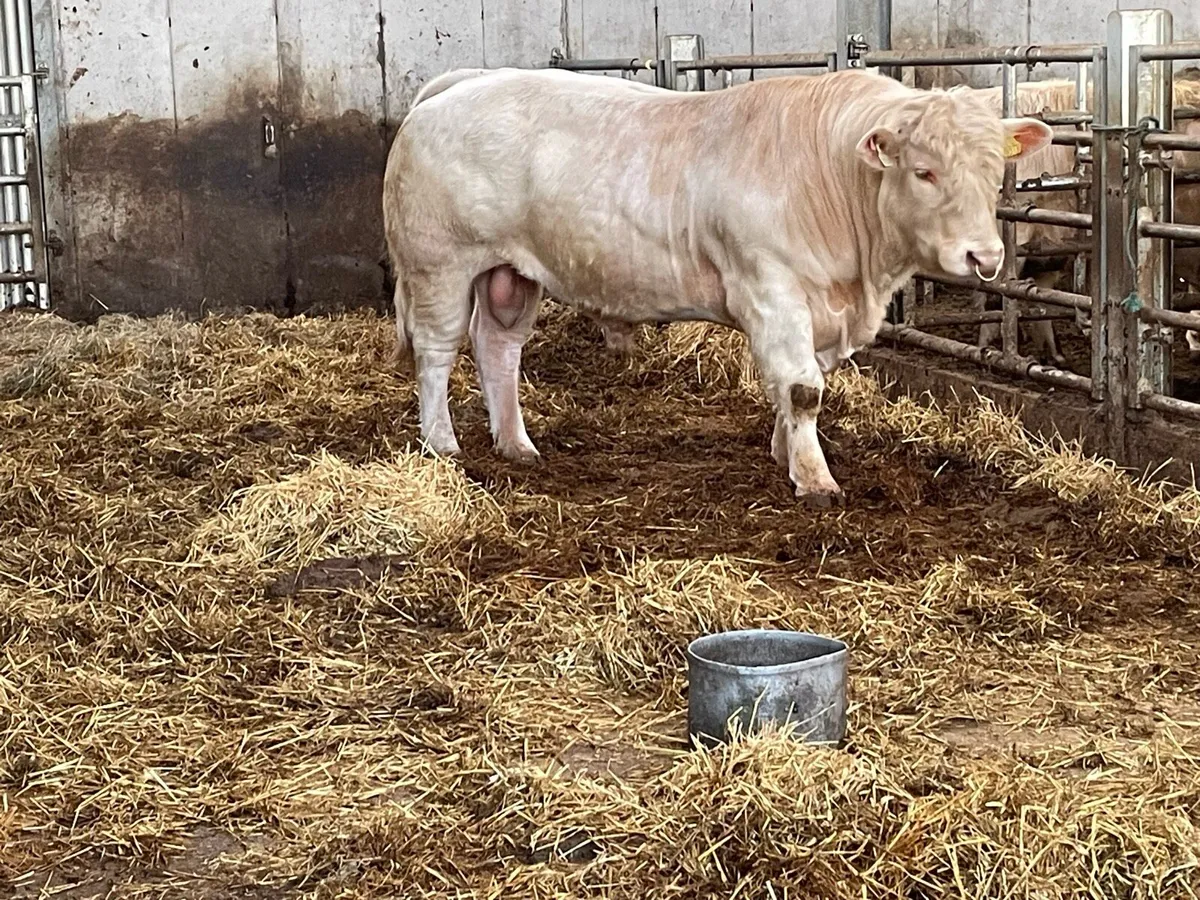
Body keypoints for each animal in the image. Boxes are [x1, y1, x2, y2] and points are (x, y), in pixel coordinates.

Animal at [383, 66, 1052, 505]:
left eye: (995, 170)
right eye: (924, 171)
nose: (985, 255)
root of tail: (460, 83)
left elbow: (798, 384)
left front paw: (785, 455)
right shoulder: (772, 290)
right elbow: (804, 389)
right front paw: (815, 480)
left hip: (511, 274)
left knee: (498, 348)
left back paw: (517, 445)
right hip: (440, 265)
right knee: (437, 352)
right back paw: (442, 444)